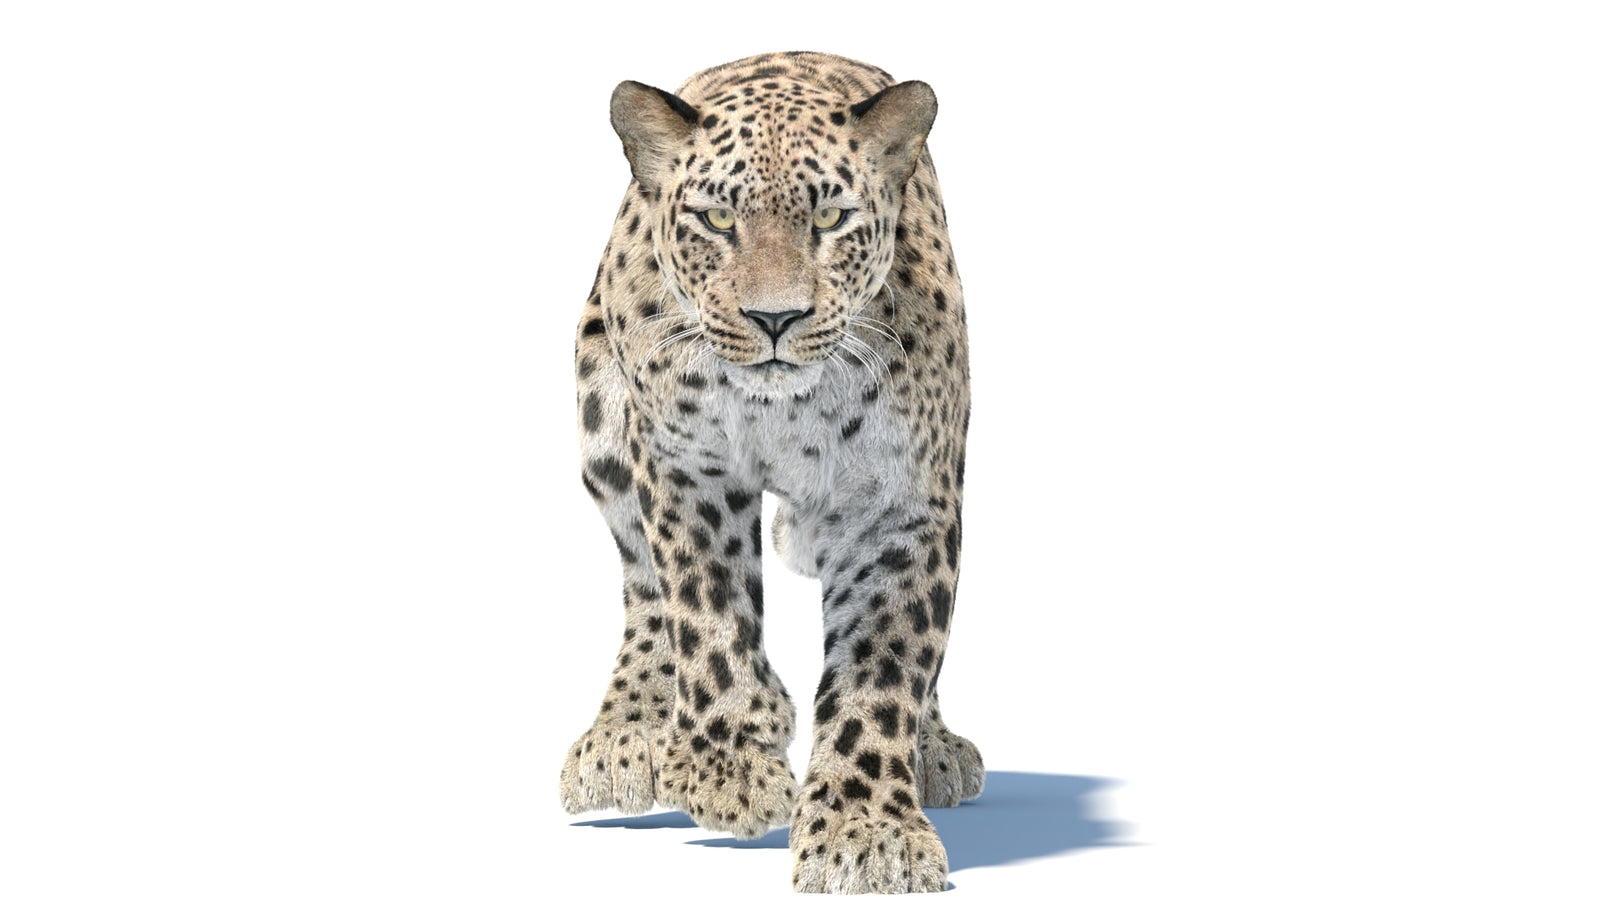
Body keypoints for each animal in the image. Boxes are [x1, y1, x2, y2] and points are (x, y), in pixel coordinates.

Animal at [558, 51, 982, 893]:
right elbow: (706, 610)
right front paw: (729, 766)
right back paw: (628, 736)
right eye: (719, 222)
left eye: (830, 221)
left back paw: (934, 748)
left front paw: (867, 830)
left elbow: (886, 664)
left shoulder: (902, 504)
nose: (775, 319)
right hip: (604, 422)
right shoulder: (687, 466)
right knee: (645, 588)